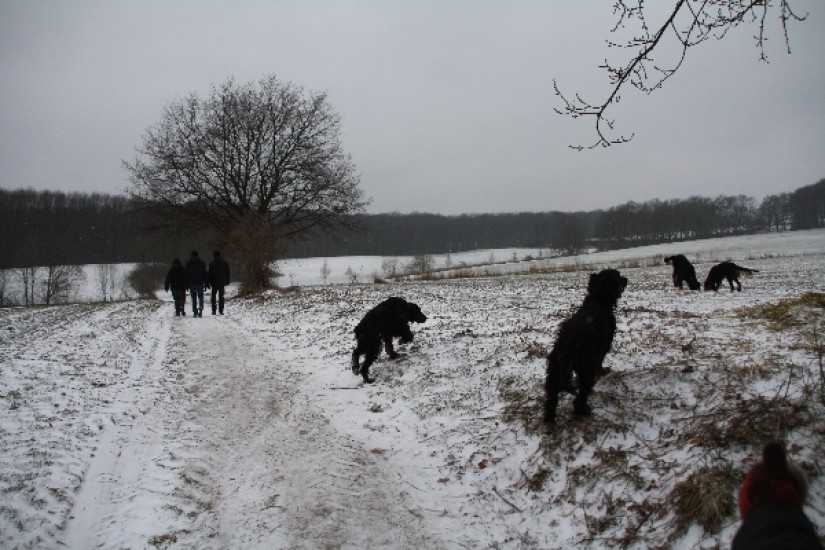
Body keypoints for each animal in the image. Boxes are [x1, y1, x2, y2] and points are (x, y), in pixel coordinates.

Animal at [544, 269, 628, 425]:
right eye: (618, 276)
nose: (626, 279)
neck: (597, 301)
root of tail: (567, 346)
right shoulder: (600, 352)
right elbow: (600, 365)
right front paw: (603, 372)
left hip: (554, 370)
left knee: (551, 400)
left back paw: (549, 422)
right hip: (586, 368)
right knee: (581, 395)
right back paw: (584, 411)